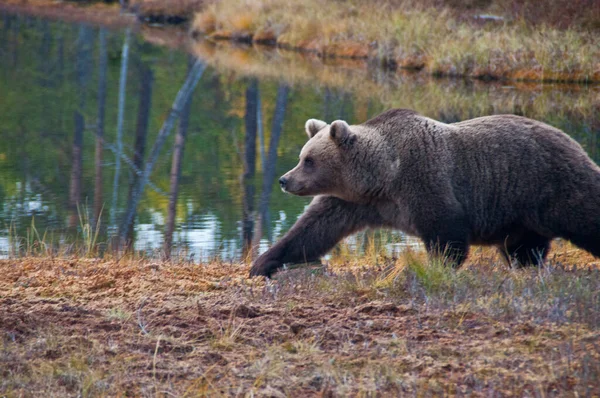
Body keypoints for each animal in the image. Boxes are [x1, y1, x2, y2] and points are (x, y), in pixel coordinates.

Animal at [248, 108, 600, 276]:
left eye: (309, 160)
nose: (285, 179)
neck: (382, 178)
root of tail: (573, 139)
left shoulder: (425, 181)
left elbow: (447, 235)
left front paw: (436, 266)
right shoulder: (351, 202)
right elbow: (313, 230)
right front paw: (263, 262)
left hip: (548, 183)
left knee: (585, 214)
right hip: (521, 215)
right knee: (523, 248)